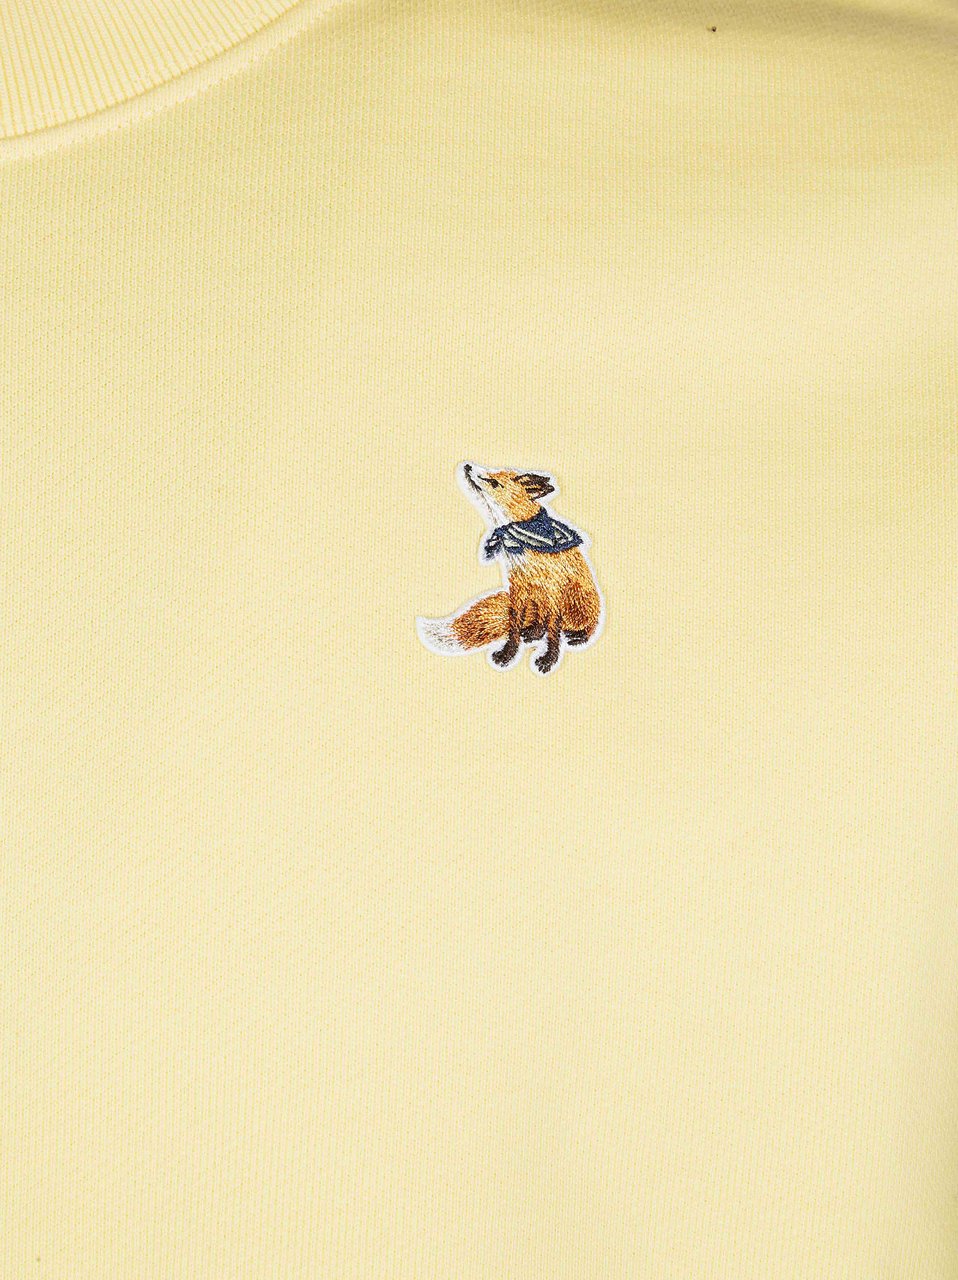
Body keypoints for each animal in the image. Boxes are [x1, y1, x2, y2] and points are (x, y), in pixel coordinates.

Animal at [416, 462, 604, 674]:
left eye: (493, 482)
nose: (467, 465)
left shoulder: (553, 593)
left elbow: (553, 632)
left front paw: (549, 659)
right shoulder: (518, 589)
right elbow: (514, 627)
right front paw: (508, 654)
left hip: (578, 603)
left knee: (585, 626)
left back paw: (579, 636)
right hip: (535, 602)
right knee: (540, 624)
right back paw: (532, 633)